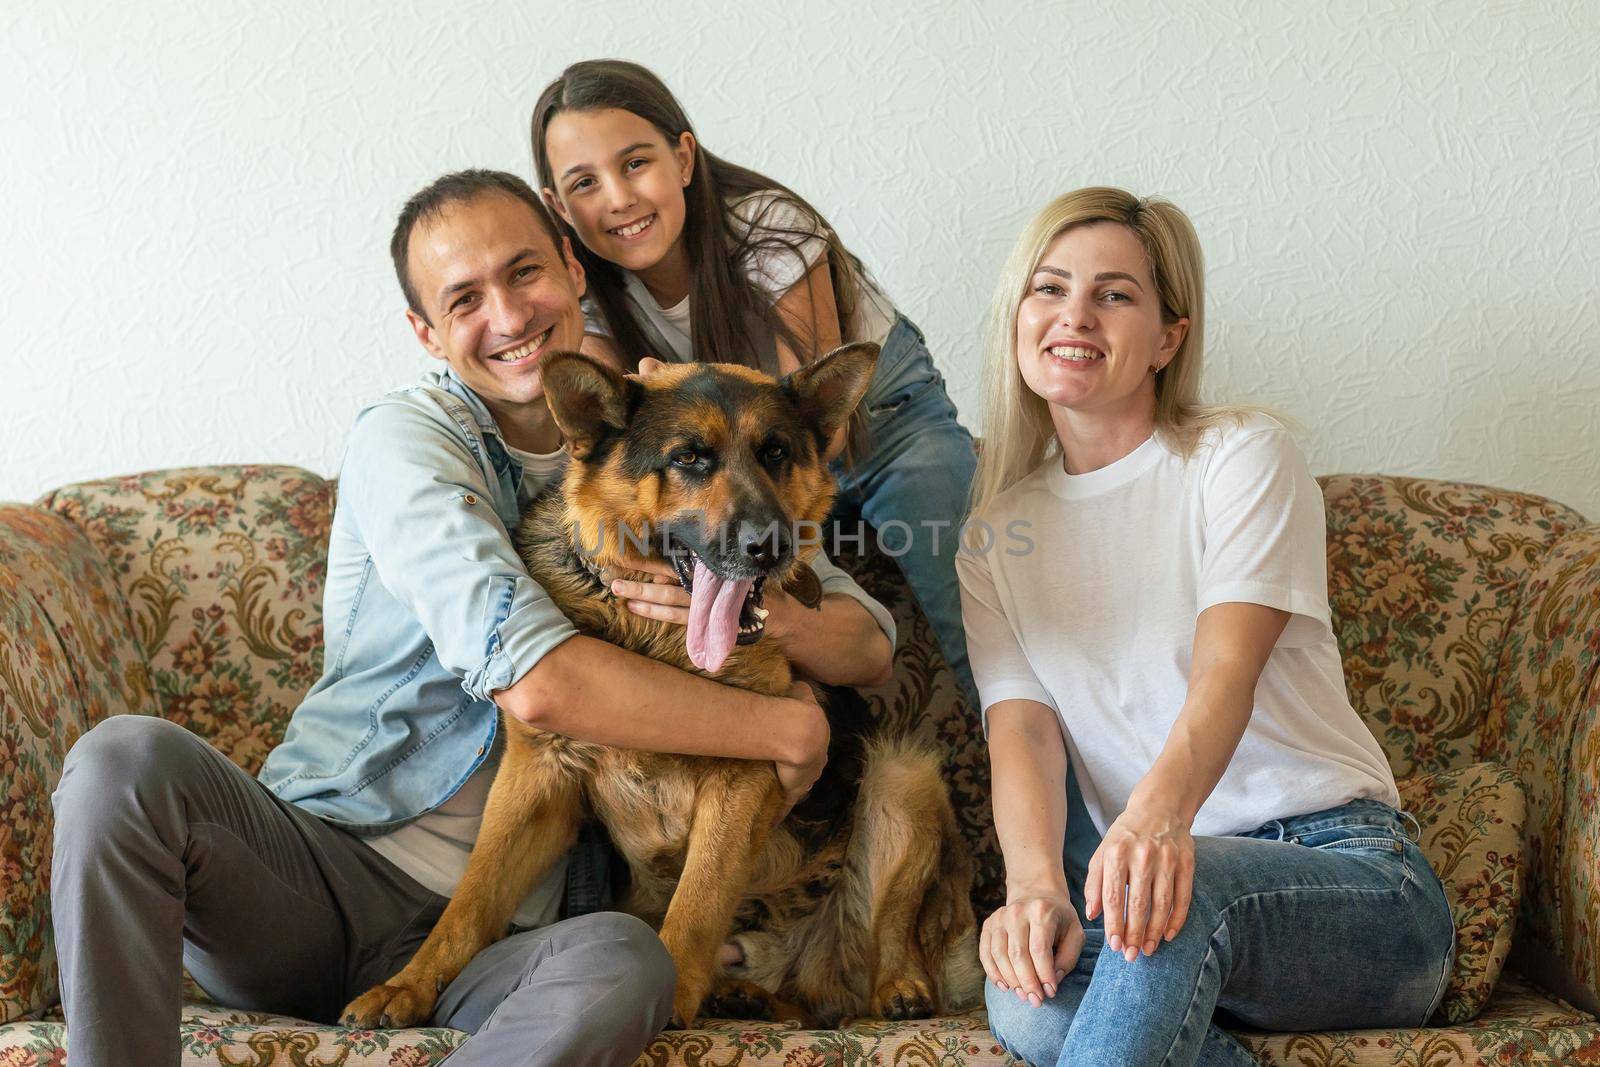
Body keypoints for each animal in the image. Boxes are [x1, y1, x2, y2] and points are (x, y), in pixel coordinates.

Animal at [344, 342, 979, 1023]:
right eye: (689, 458)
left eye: (776, 452)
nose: (771, 547)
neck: (657, 641)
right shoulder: (536, 779)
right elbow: (471, 900)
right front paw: (409, 984)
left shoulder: (745, 776)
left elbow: (698, 901)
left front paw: (667, 1000)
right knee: (803, 1002)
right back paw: (746, 996)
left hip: (903, 778)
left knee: (890, 939)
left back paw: (899, 987)